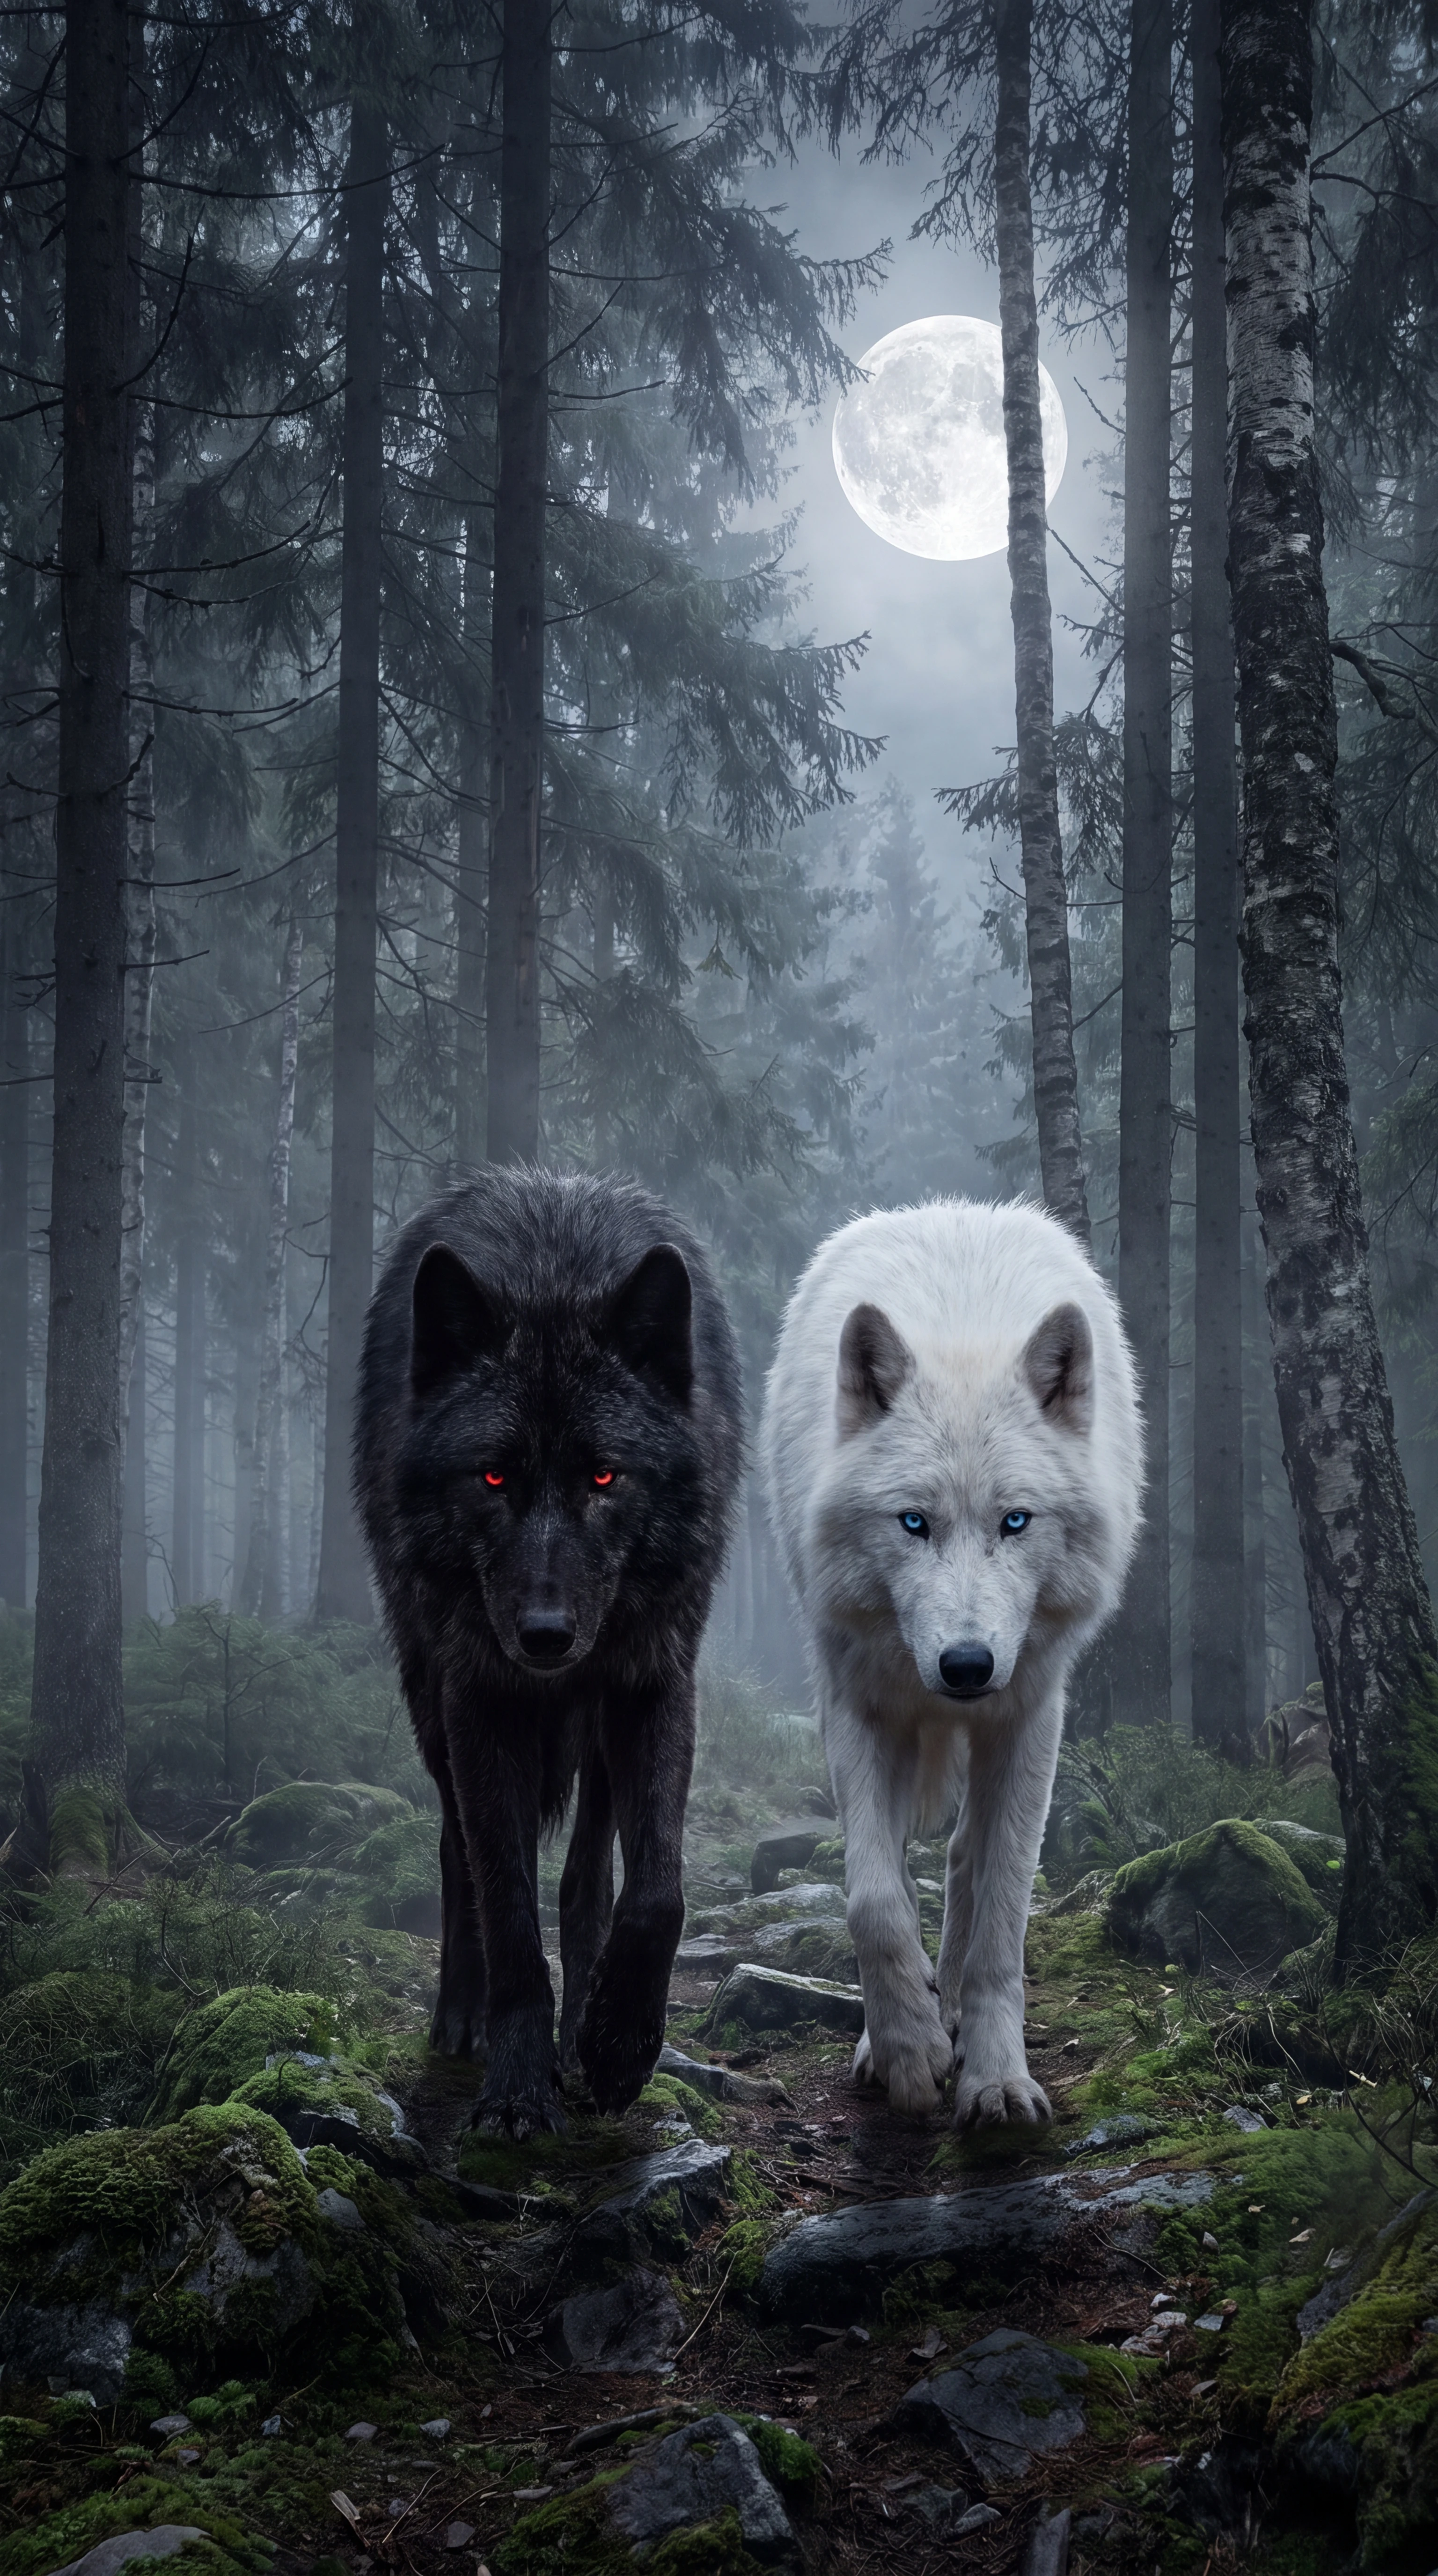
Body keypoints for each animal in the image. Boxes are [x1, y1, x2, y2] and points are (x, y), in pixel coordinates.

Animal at [355, 1169, 742, 2137]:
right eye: (493, 1475)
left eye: (604, 1475)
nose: (543, 1635)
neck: (552, 1276)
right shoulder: (480, 1697)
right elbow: (506, 1906)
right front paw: (516, 2089)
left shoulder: (654, 1680)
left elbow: (654, 1890)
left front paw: (617, 2043)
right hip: (430, 1696)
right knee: (459, 1851)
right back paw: (465, 2014)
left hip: (595, 1719)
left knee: (588, 1874)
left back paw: (584, 2028)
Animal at [761, 1199, 1141, 2127]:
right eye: (913, 1522)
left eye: (1015, 1520)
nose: (966, 1665)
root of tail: (952, 1207)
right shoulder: (854, 1701)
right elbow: (873, 1898)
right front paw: (906, 2052)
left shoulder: (1031, 1711)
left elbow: (1004, 1912)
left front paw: (995, 2077)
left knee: (969, 1857)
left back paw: (964, 2016)